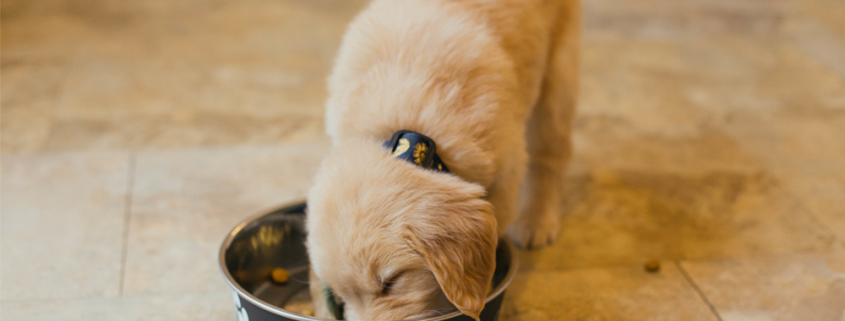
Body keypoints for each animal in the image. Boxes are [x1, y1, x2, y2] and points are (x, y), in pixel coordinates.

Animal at [306, 0, 576, 318]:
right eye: (339, 296)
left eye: (390, 282)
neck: (405, 132)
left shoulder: (506, 171)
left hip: (557, 68)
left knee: (551, 153)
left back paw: (537, 221)